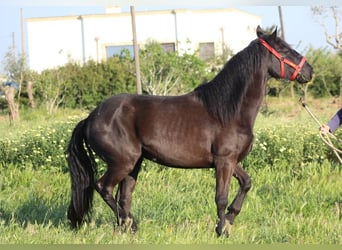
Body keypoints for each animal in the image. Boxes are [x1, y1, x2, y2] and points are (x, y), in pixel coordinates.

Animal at [66, 26, 312, 237]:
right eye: (284, 49)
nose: (309, 71)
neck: (227, 110)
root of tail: (91, 117)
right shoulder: (224, 161)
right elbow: (221, 197)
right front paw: (221, 230)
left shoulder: (231, 161)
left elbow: (246, 183)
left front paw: (230, 220)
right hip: (122, 163)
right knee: (103, 188)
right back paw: (131, 225)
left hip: (133, 165)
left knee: (124, 197)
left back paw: (127, 228)